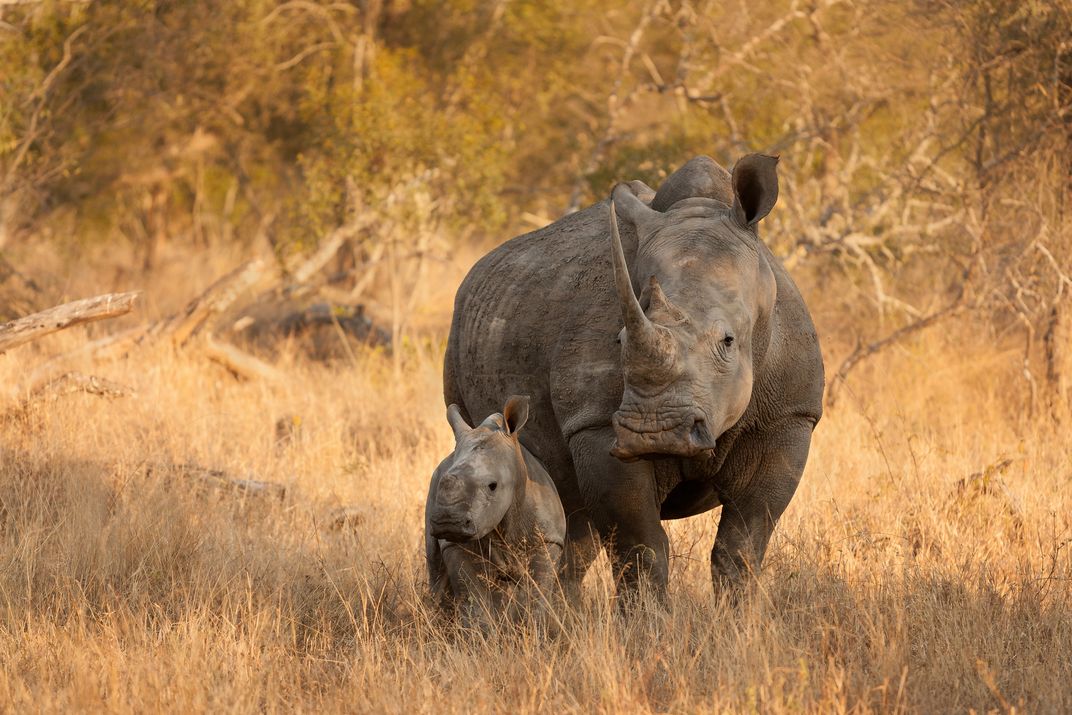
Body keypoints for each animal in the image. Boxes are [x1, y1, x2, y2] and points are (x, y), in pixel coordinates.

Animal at [425, 395, 567, 626]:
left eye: (493, 486)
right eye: (441, 483)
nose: (448, 522)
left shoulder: (548, 540)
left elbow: (537, 599)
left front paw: (534, 629)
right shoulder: (456, 544)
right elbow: (474, 601)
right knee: (436, 572)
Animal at [444, 154, 824, 601]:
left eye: (729, 341)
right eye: (621, 339)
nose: (654, 432)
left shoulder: (789, 417)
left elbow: (743, 544)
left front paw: (740, 617)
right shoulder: (595, 423)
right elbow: (640, 545)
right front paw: (647, 619)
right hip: (459, 332)